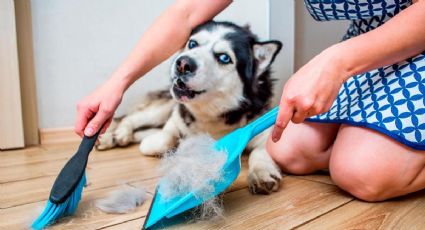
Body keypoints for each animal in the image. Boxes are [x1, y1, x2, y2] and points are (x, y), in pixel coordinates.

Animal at [98, 21, 284, 194]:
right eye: (193, 43)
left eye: (224, 58)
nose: (183, 63)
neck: (211, 115)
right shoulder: (175, 120)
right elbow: (163, 139)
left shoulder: (262, 129)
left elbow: (260, 151)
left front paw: (262, 172)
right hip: (163, 109)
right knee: (129, 119)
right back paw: (119, 134)